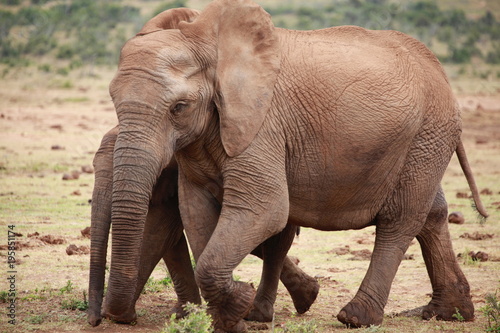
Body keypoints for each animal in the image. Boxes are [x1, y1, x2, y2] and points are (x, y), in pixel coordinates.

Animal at [87, 126, 318, 326]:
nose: (95, 321)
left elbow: (159, 234)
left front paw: (120, 316)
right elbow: (167, 238)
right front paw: (184, 313)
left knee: (275, 241)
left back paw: (265, 312)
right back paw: (305, 295)